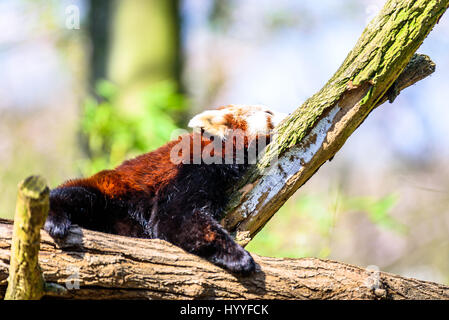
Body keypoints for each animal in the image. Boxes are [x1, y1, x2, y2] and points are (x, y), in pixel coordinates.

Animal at [44, 105, 284, 276]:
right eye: (268, 113)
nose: (285, 114)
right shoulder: (190, 169)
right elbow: (174, 217)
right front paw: (239, 258)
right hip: (109, 194)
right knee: (76, 196)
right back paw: (56, 219)